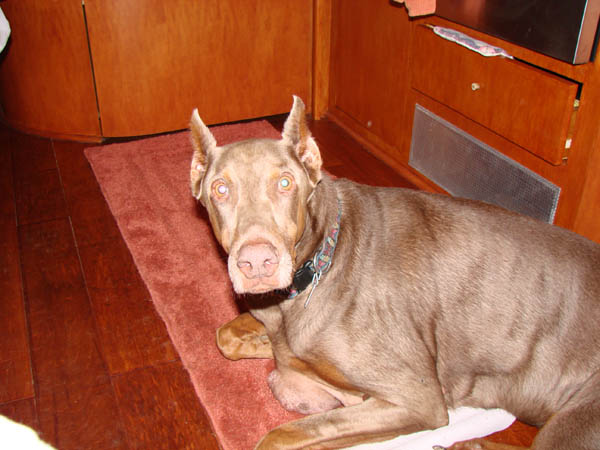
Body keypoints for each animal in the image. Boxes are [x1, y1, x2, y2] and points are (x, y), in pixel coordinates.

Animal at [189, 96, 600, 448]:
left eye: (285, 183)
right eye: (220, 189)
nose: (257, 263)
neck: (323, 257)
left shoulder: (416, 399)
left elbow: (280, 435)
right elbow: (227, 336)